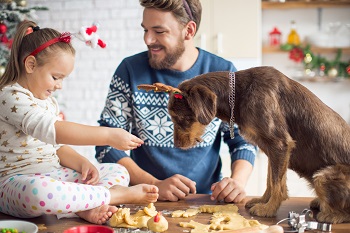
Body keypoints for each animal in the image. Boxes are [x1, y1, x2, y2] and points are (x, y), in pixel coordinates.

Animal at [138, 66, 350, 224]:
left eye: (180, 118)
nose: (177, 145)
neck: (239, 93)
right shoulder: (270, 150)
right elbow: (271, 181)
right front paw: (263, 201)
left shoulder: (280, 145)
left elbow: (277, 184)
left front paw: (268, 208)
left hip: (322, 177)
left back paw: (330, 214)